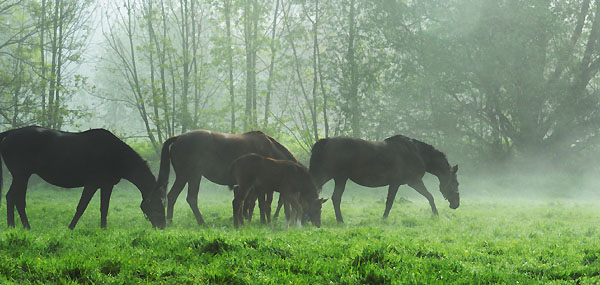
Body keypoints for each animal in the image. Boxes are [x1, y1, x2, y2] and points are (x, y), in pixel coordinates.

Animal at [0, 126, 166, 229]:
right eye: (157, 203)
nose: (162, 226)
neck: (115, 155)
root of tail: (9, 134)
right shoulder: (92, 184)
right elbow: (82, 207)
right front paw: (70, 228)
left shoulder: (106, 185)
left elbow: (104, 208)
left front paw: (103, 229)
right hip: (21, 175)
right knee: (14, 198)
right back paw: (19, 226)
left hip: (22, 176)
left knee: (14, 199)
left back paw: (18, 226)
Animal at [155, 130, 296, 225]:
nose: (293, 220)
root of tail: (179, 137)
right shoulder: (261, 186)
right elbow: (261, 203)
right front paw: (262, 221)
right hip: (191, 176)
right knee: (190, 198)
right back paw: (201, 223)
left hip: (186, 176)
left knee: (173, 196)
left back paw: (171, 222)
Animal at [308, 134, 462, 223]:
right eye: (455, 183)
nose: (456, 204)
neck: (417, 153)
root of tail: (326, 141)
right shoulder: (413, 182)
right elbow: (429, 196)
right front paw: (436, 214)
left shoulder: (397, 183)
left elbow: (389, 202)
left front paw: (384, 218)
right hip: (333, 176)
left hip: (339, 178)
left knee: (335, 198)